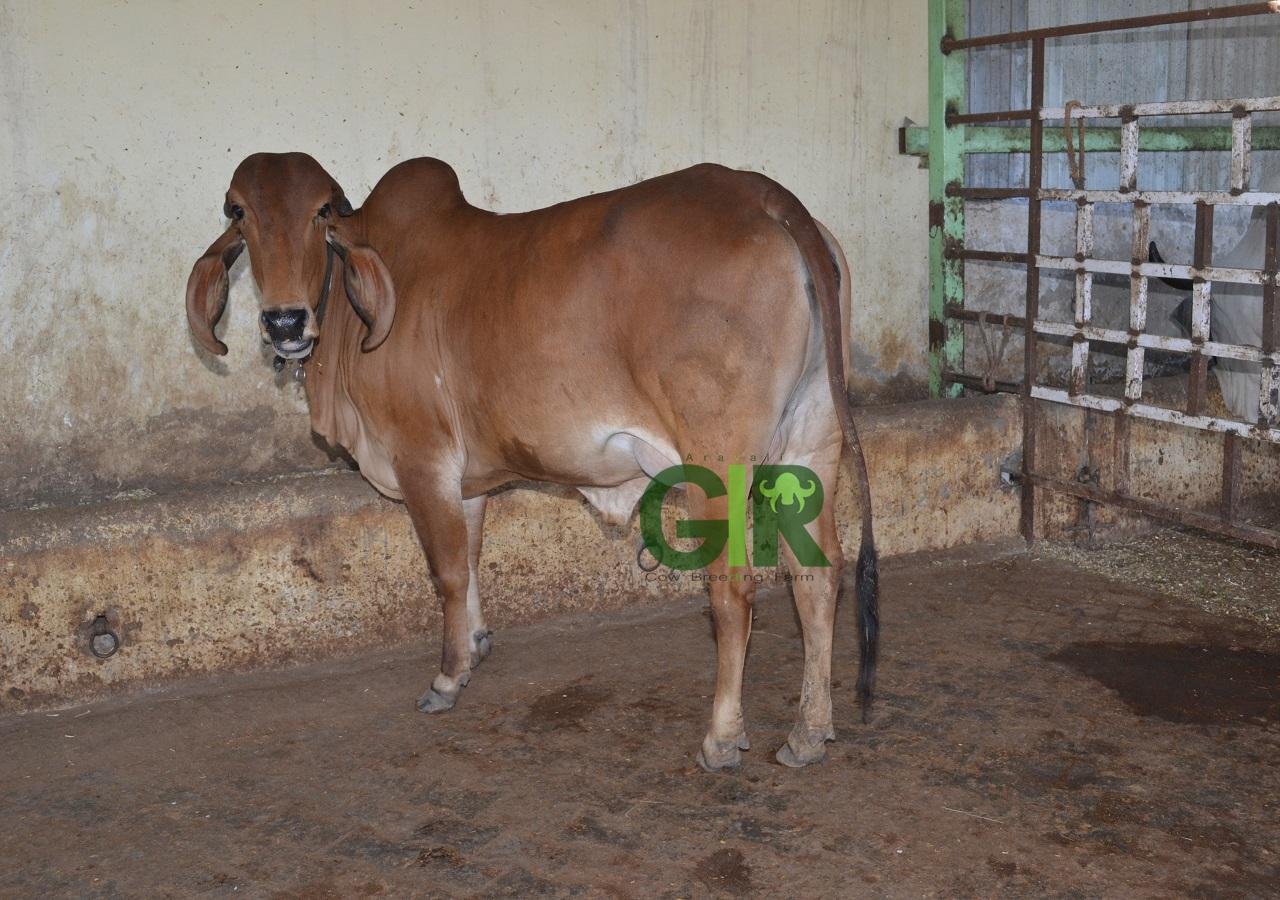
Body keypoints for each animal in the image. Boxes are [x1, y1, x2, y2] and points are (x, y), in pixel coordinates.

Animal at [186, 152, 879, 771]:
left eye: (322, 211)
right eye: (239, 212)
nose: (283, 321)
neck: (356, 317)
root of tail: (764, 196)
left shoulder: (422, 460)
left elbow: (447, 573)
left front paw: (445, 679)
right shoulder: (464, 482)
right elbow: (469, 559)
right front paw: (474, 647)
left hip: (720, 461)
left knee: (734, 589)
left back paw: (722, 738)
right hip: (813, 441)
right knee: (818, 576)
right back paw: (809, 732)